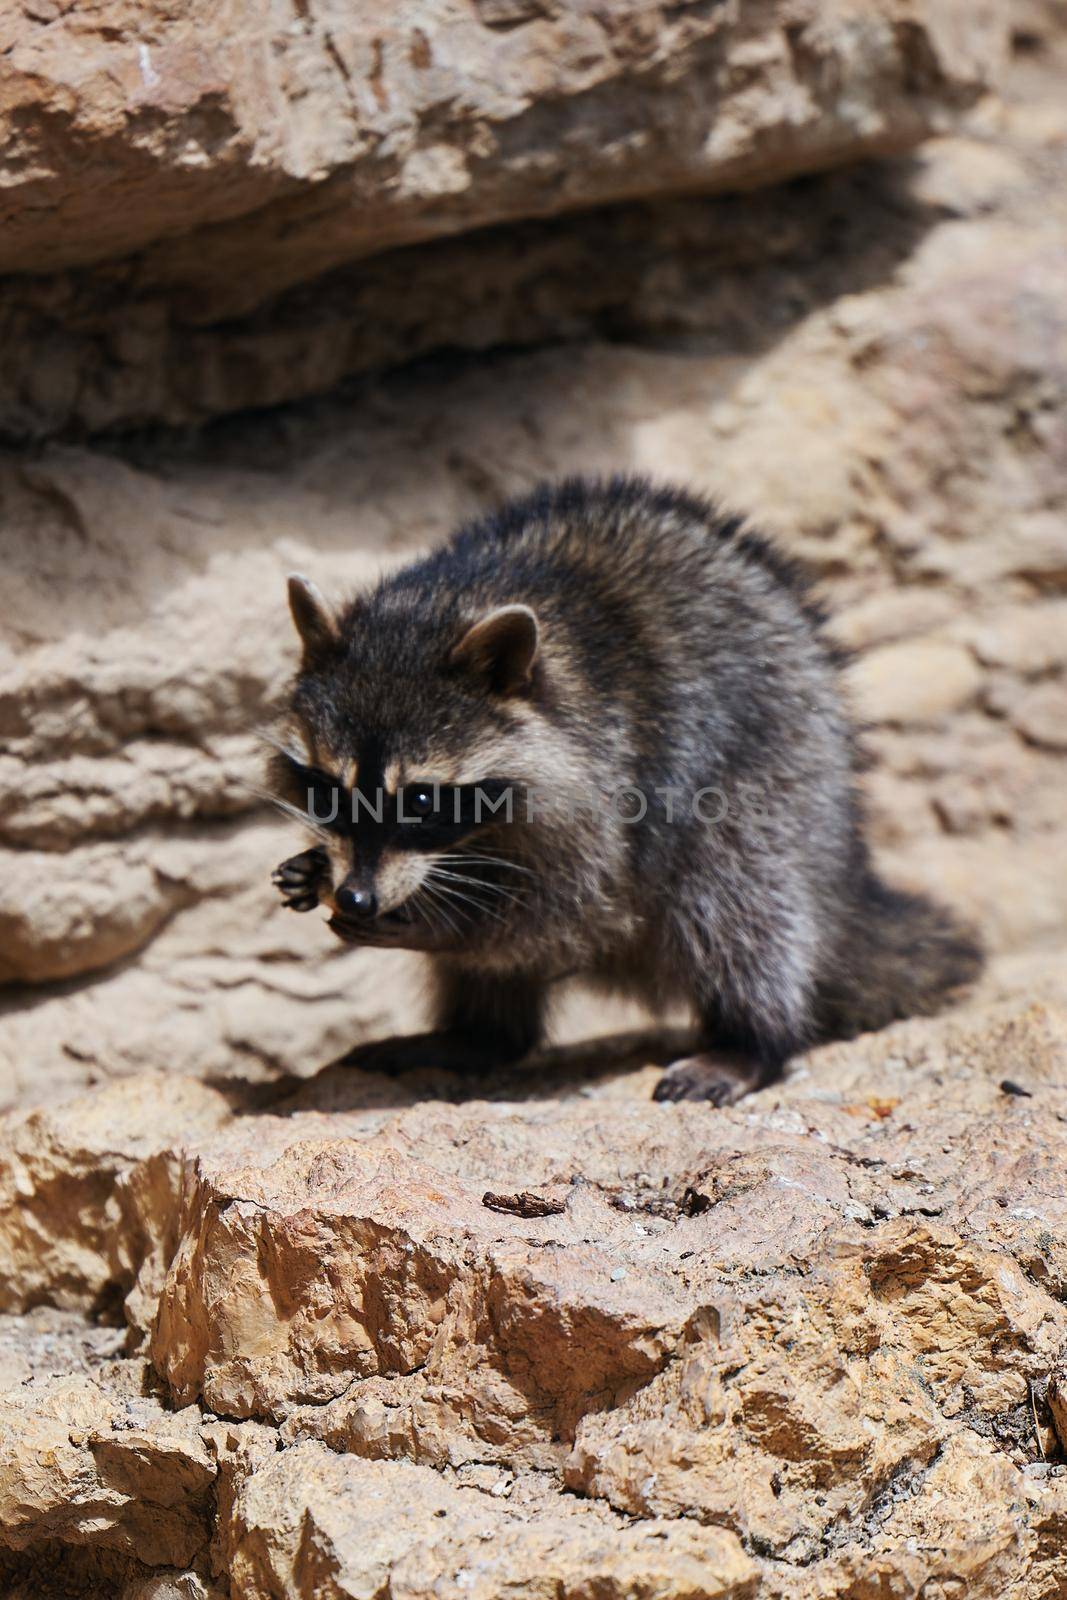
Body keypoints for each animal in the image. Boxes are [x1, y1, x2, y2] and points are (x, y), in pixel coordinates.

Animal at [268, 473, 985, 1100]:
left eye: (419, 799)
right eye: (328, 788)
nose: (357, 898)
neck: (450, 599)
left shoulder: (614, 773)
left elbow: (572, 914)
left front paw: (441, 924)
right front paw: (318, 865)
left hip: (776, 780)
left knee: (737, 902)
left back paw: (751, 1039)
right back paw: (479, 1037)